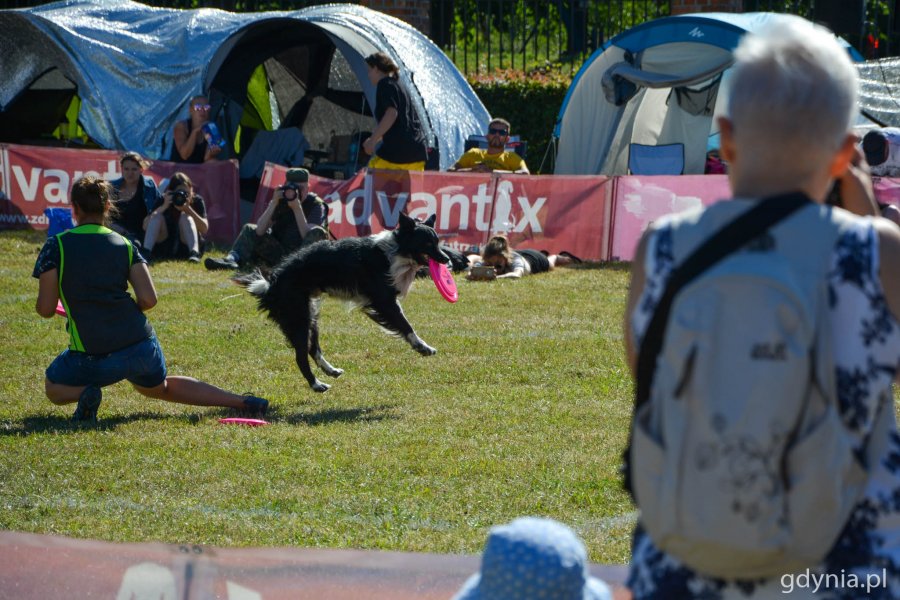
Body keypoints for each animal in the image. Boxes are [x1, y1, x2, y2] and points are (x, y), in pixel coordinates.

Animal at [234, 213, 450, 392]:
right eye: (428, 243)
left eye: (437, 242)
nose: (447, 259)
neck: (395, 252)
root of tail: (271, 283)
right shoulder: (384, 301)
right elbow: (406, 325)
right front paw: (422, 347)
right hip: (299, 317)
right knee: (301, 356)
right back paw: (316, 384)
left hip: (311, 315)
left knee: (313, 349)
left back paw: (331, 370)